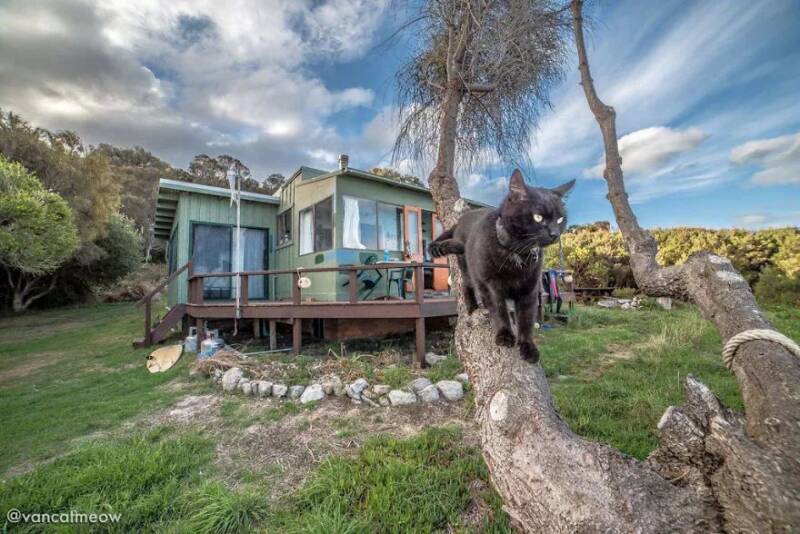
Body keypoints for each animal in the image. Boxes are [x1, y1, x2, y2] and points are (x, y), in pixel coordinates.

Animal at [428, 172, 572, 364]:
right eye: (538, 217)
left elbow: (526, 319)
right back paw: (472, 307)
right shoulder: (491, 285)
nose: (555, 234)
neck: (518, 252)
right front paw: (504, 335)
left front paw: (529, 348)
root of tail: (460, 221)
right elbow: (499, 309)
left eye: (560, 219)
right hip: (469, 269)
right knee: (467, 285)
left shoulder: (530, 290)